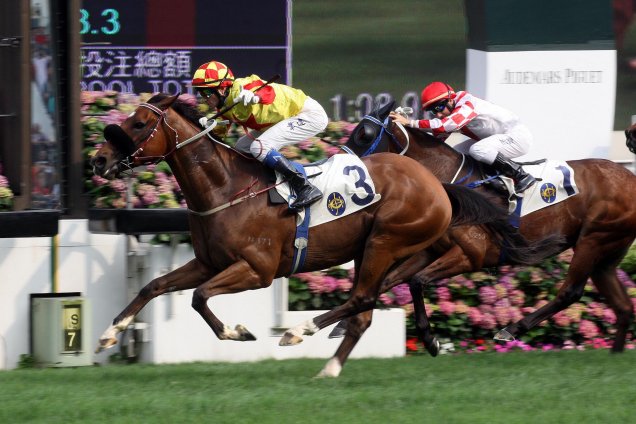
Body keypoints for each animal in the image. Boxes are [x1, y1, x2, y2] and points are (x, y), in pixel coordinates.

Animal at [89, 93, 516, 374]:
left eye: (138, 124)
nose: (99, 159)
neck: (227, 188)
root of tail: (436, 184)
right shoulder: (208, 262)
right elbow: (155, 286)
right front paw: (110, 333)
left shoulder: (257, 270)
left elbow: (199, 297)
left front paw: (237, 332)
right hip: (381, 249)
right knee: (367, 307)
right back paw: (334, 365)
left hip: (385, 241)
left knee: (362, 298)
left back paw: (299, 332)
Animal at [332, 103, 636, 374]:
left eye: (364, 133)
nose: (340, 164)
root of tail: (629, 176)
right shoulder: (430, 251)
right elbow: (388, 281)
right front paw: (342, 323)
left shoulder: (471, 254)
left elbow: (417, 282)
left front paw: (430, 340)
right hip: (607, 252)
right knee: (622, 305)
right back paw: (615, 356)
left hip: (593, 240)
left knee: (570, 292)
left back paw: (510, 330)